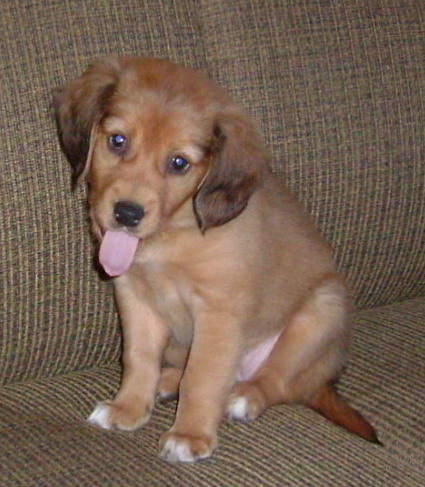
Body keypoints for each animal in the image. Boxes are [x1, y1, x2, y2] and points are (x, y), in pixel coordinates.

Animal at [53, 56, 378, 462]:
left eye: (179, 163)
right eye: (118, 141)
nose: (127, 213)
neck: (171, 237)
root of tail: (323, 380)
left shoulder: (219, 312)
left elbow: (204, 377)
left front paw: (190, 434)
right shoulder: (134, 298)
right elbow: (138, 359)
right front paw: (127, 408)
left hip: (323, 309)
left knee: (278, 382)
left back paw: (243, 397)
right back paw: (168, 381)